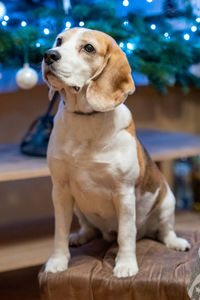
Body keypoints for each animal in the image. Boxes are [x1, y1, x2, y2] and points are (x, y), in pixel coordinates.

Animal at [42, 27, 191, 278]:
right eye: (59, 41)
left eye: (89, 48)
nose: (49, 55)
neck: (85, 118)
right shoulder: (60, 190)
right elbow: (59, 232)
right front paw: (58, 261)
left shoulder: (123, 193)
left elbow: (126, 234)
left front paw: (126, 264)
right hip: (78, 207)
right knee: (89, 229)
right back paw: (81, 236)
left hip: (166, 201)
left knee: (164, 230)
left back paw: (175, 242)